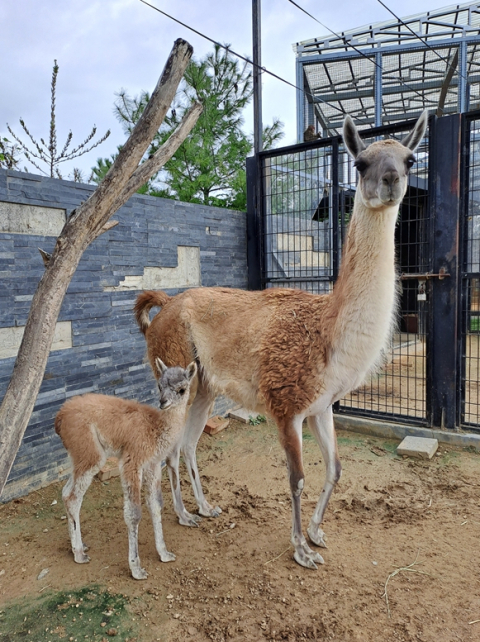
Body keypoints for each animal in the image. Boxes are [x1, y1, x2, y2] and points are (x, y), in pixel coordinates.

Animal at [55, 358, 197, 576]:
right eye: (159, 385)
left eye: (181, 389)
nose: (163, 402)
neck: (154, 428)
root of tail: (60, 415)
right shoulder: (132, 461)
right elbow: (134, 513)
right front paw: (136, 568)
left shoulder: (153, 464)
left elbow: (156, 504)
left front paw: (164, 553)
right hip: (90, 453)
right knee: (73, 497)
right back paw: (79, 554)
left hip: (80, 456)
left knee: (66, 492)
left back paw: (77, 546)